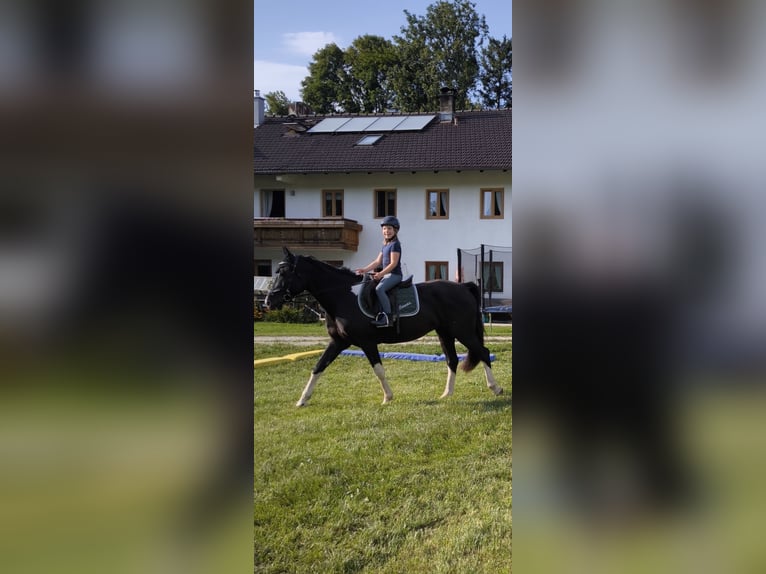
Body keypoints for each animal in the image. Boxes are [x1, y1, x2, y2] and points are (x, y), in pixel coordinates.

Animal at [263, 247, 504, 406]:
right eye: (277, 272)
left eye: (284, 273)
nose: (268, 301)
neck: (343, 297)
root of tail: (463, 287)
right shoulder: (338, 342)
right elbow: (318, 366)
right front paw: (302, 400)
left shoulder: (367, 342)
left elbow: (378, 369)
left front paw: (388, 397)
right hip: (445, 333)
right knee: (452, 360)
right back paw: (447, 394)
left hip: (462, 331)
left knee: (483, 352)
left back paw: (496, 388)